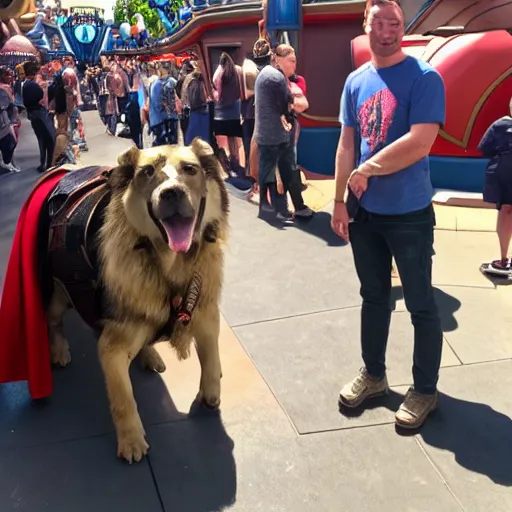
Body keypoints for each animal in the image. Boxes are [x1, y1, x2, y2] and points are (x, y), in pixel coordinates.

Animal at [44, 138, 228, 462]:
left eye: (190, 169)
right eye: (146, 172)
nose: (171, 193)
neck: (170, 270)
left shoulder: (206, 315)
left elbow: (211, 359)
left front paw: (210, 393)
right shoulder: (111, 347)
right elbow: (123, 398)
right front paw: (131, 440)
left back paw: (150, 355)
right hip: (59, 294)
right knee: (54, 321)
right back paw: (59, 350)